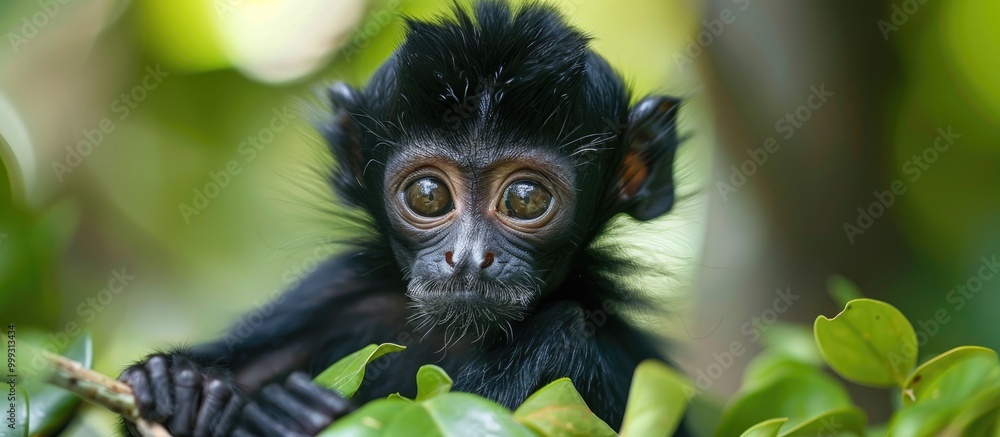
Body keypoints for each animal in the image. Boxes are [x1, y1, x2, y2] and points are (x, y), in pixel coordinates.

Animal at [117, 1, 683, 436]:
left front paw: (296, 418)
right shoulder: (334, 293)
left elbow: (568, 331)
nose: (469, 257)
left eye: (524, 199)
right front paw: (182, 387)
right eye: (428, 195)